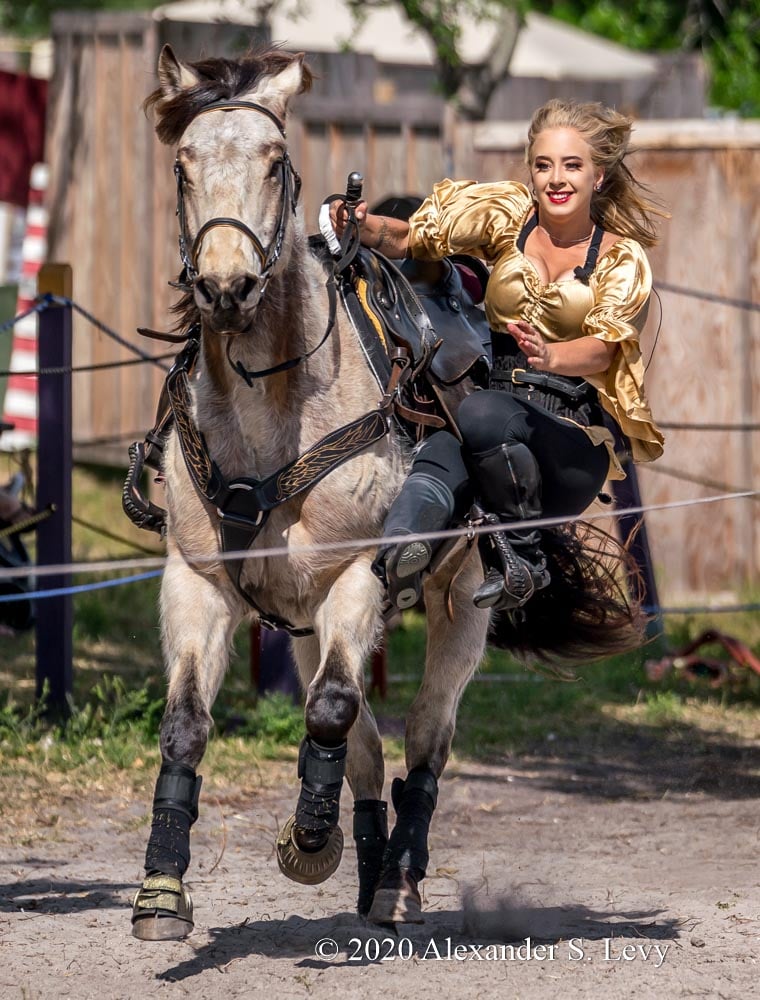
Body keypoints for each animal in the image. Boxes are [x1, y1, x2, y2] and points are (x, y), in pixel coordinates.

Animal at [129, 45, 490, 941]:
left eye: (274, 161)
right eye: (183, 165)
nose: (225, 287)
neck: (272, 414)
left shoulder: (358, 576)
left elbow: (329, 711)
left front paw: (308, 840)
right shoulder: (198, 582)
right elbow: (186, 726)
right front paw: (162, 890)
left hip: (460, 603)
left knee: (423, 738)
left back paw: (397, 880)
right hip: (295, 621)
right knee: (366, 744)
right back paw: (369, 870)